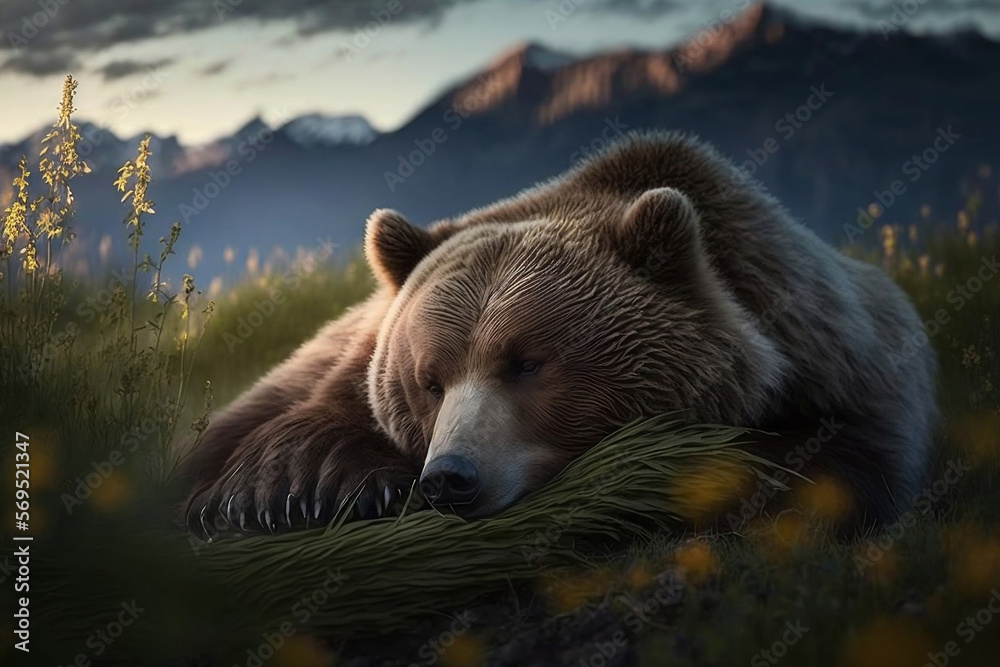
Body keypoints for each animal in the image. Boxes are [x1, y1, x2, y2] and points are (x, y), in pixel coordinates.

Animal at [181, 131, 937, 537]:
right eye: (429, 380)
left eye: (527, 362)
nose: (451, 476)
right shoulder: (342, 364)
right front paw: (303, 488)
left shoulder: (839, 365)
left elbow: (829, 467)